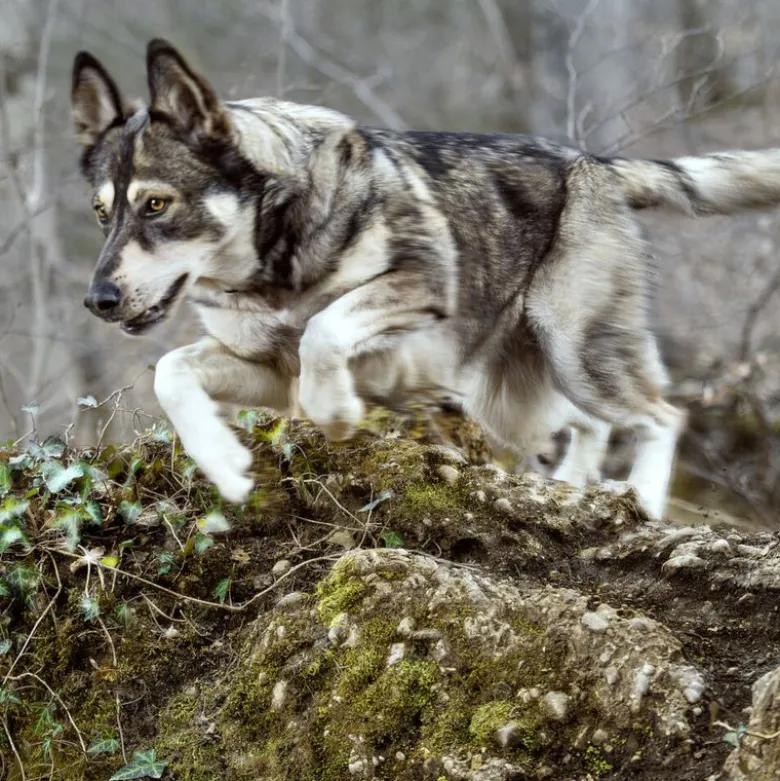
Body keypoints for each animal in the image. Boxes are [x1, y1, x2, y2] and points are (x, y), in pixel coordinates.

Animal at [70, 38, 780, 520]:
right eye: (102, 213)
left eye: (156, 205)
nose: (98, 300)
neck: (274, 260)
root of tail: (598, 164)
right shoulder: (266, 371)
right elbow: (172, 373)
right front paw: (225, 466)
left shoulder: (419, 286)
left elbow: (323, 329)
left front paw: (335, 410)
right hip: (520, 394)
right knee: (594, 425)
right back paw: (572, 487)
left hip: (576, 350)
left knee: (662, 415)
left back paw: (644, 500)